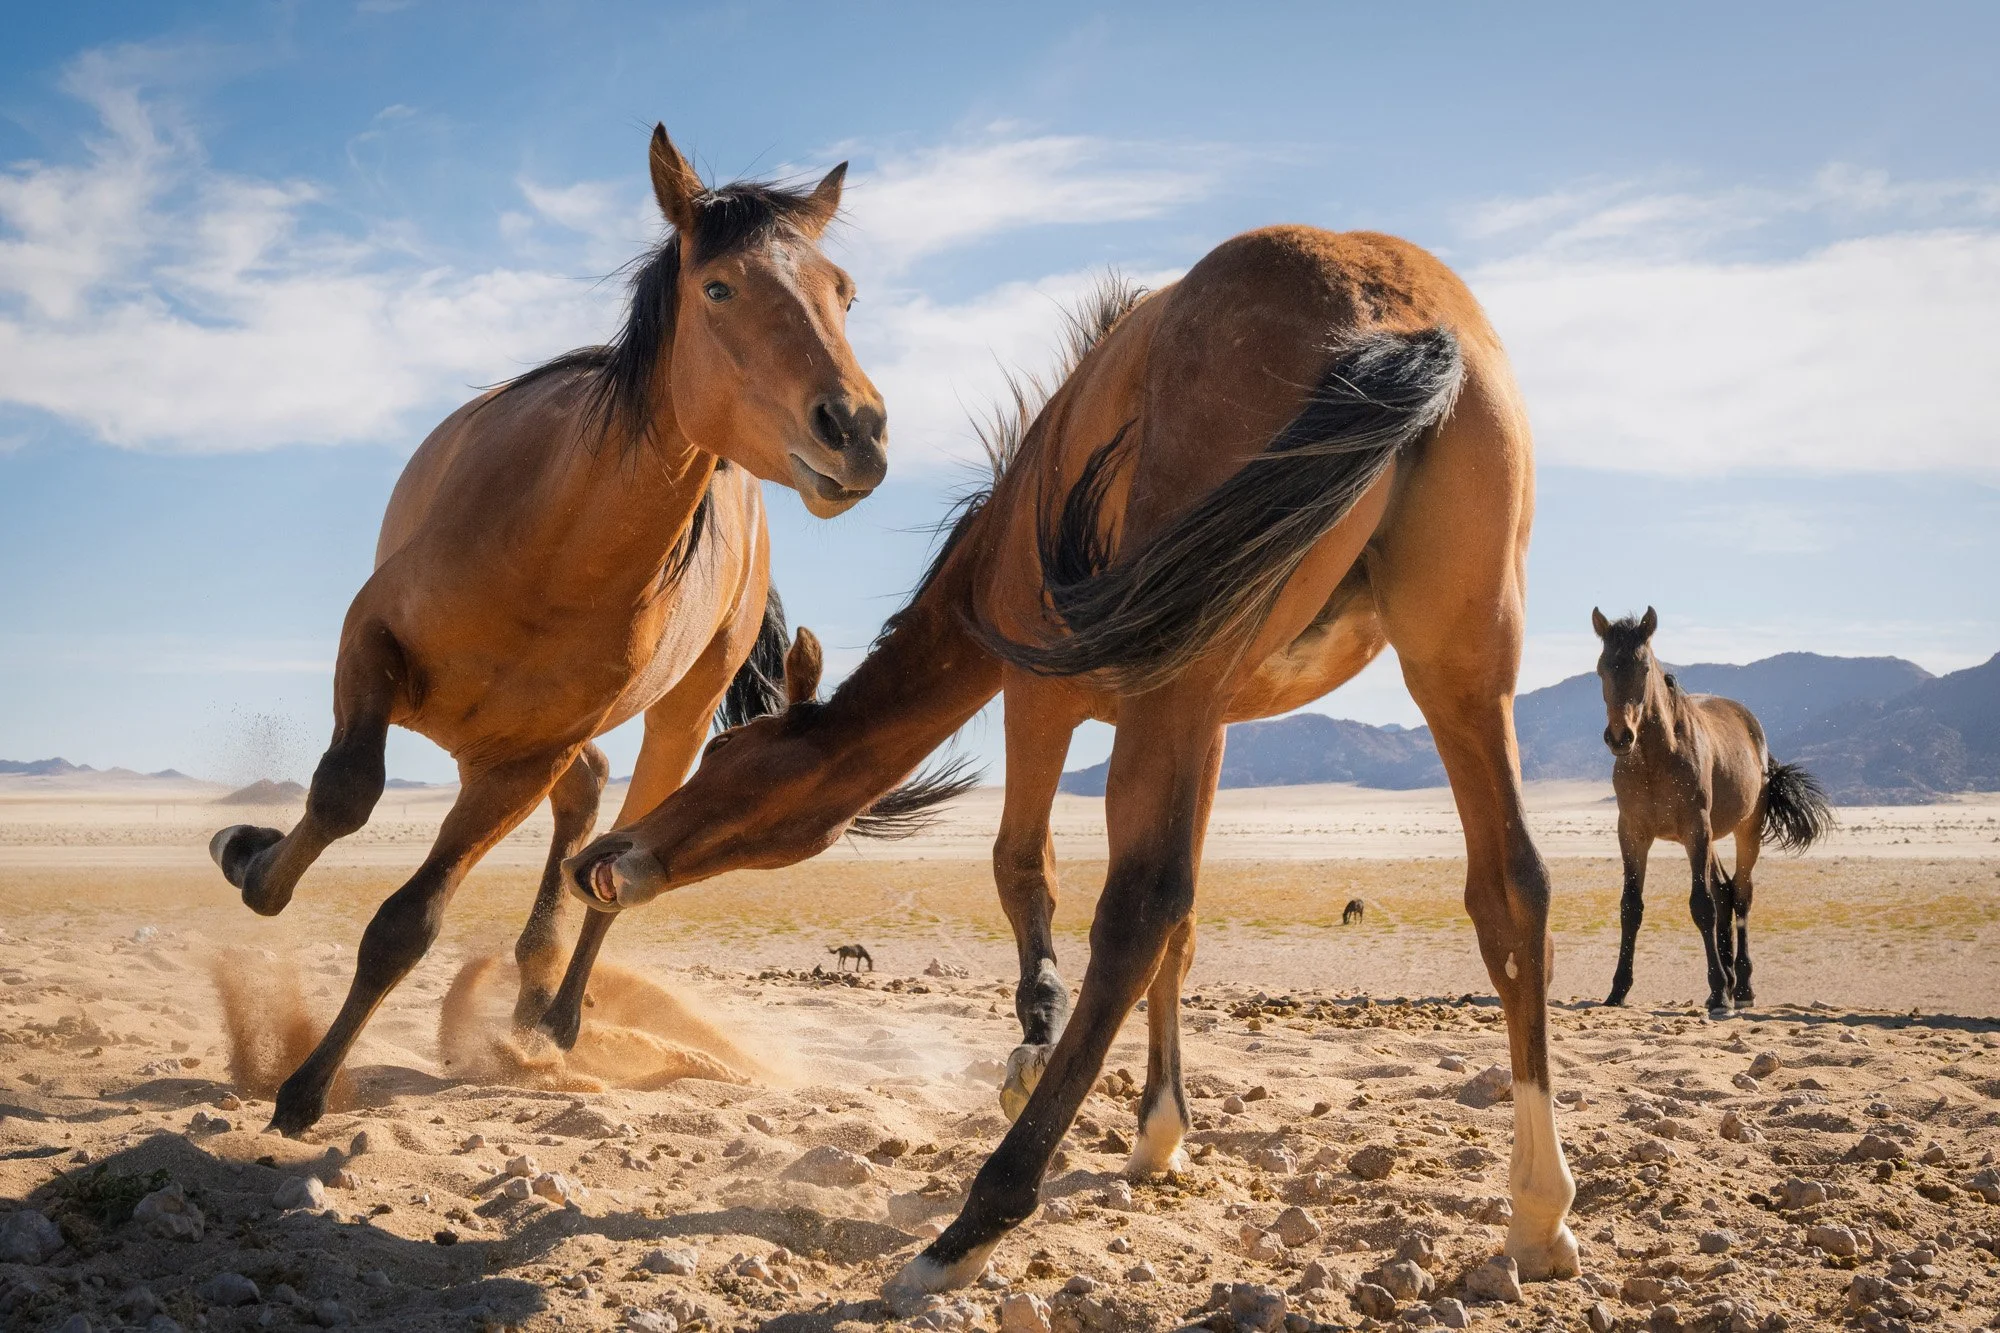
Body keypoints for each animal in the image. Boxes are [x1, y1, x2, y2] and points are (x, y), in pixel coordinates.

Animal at [206, 125, 891, 1136]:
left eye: (842, 292)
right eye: (718, 286)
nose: (857, 429)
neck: (554, 550)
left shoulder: (519, 764)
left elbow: (407, 923)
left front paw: (306, 1088)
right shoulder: (371, 643)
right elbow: (343, 792)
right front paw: (251, 860)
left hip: (671, 721)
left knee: (617, 851)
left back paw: (554, 1017)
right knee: (587, 796)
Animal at [565, 229, 1582, 1296]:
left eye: (729, 752)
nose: (603, 858)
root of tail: (1394, 312)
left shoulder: (1040, 695)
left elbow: (1025, 867)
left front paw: (1035, 1044)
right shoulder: (1213, 719)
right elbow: (1187, 928)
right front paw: (1160, 1133)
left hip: (1185, 679)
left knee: (1137, 905)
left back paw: (975, 1220)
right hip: (1461, 662)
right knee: (1509, 888)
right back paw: (1538, 1212)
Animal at [1591, 608, 1833, 1013]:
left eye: (1643, 668)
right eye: (1601, 668)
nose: (1620, 737)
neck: (1655, 759)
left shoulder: (1695, 829)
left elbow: (1701, 905)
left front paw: (1719, 991)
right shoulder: (1632, 833)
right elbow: (1631, 907)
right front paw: (1617, 990)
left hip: (1744, 830)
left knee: (1741, 895)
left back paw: (1741, 986)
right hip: (1711, 837)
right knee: (1724, 890)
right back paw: (1732, 978)